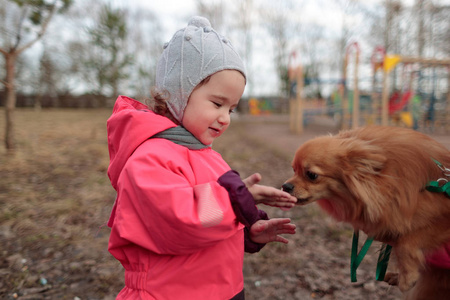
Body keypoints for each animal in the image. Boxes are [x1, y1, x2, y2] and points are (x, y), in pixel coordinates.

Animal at [284, 125, 448, 298]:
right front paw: (402, 276)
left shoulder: (441, 221)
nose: (285, 186)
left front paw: (407, 278)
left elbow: (407, 242)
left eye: (311, 175)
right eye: (293, 170)